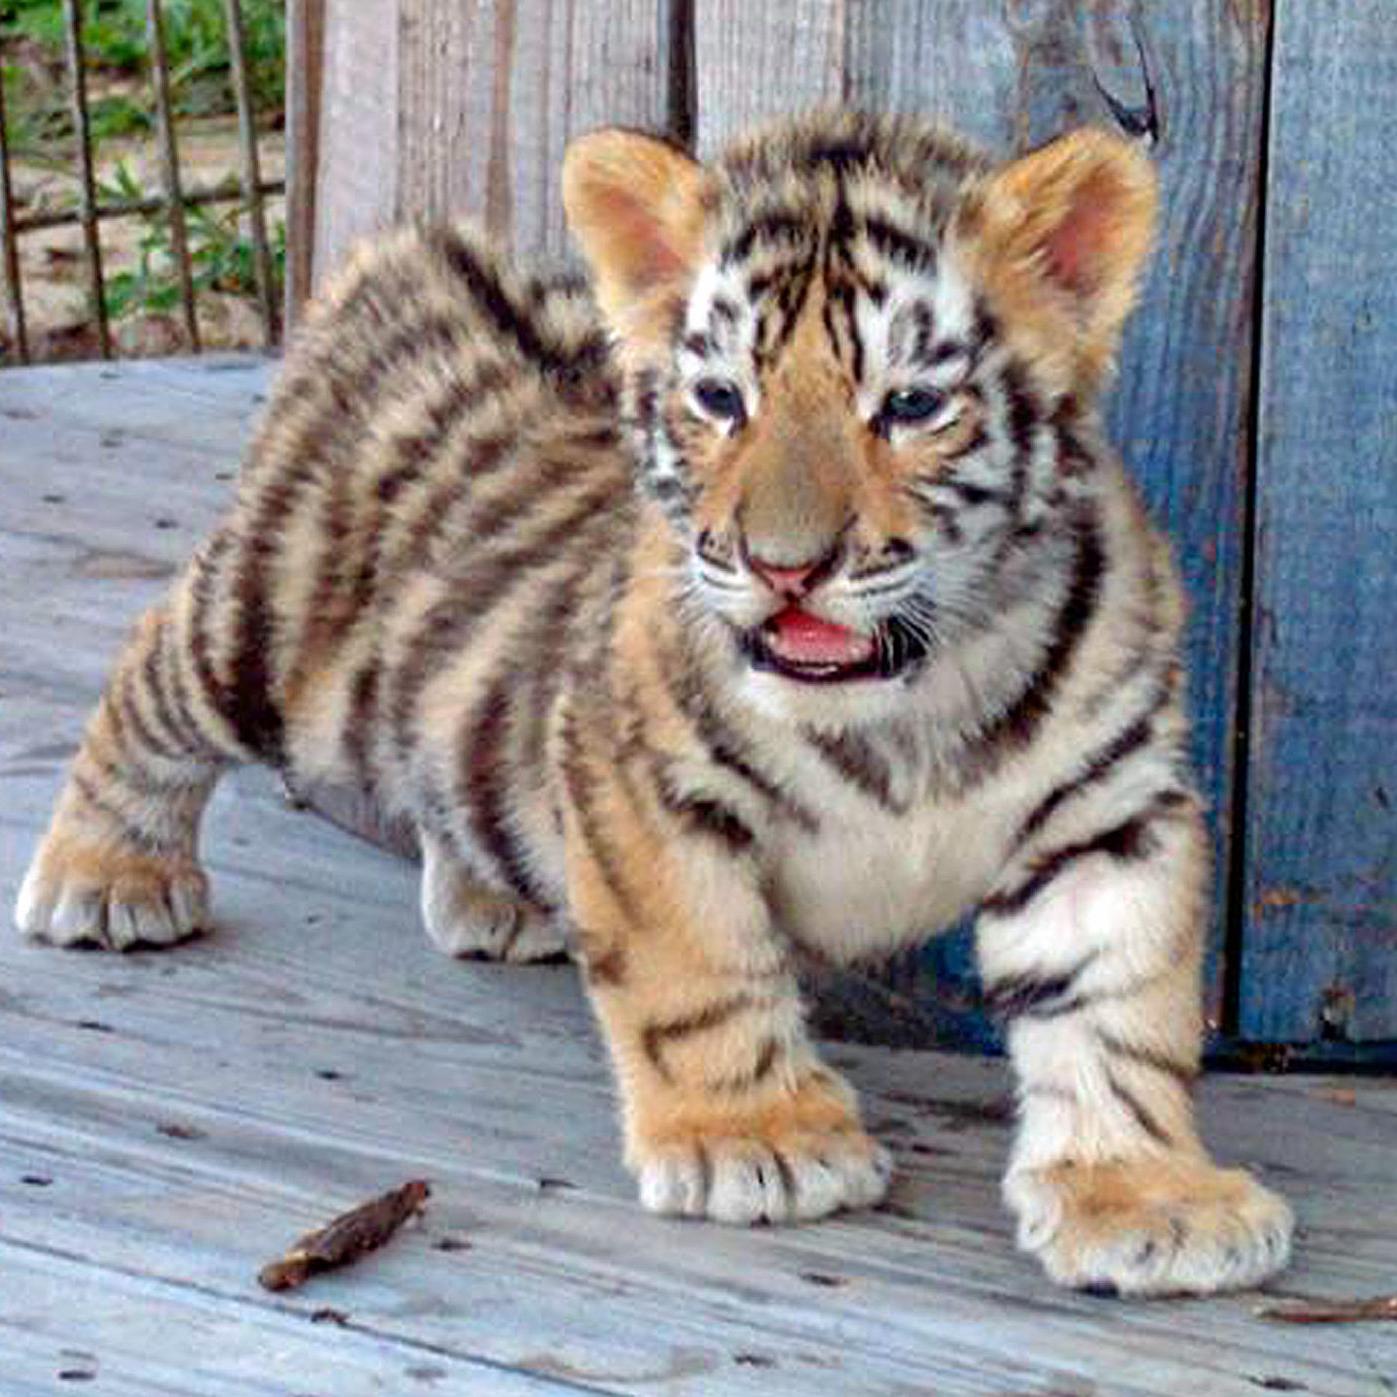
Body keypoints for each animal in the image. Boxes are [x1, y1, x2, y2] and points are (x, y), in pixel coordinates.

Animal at [14, 110, 1293, 1296]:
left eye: (910, 405)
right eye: (721, 398)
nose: (785, 566)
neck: (907, 696)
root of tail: (417, 258)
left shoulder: (1107, 810)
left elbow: (1112, 1007)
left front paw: (1146, 1198)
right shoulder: (641, 780)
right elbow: (701, 969)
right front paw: (756, 1140)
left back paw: (496, 895)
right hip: (271, 636)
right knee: (150, 665)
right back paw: (107, 875)